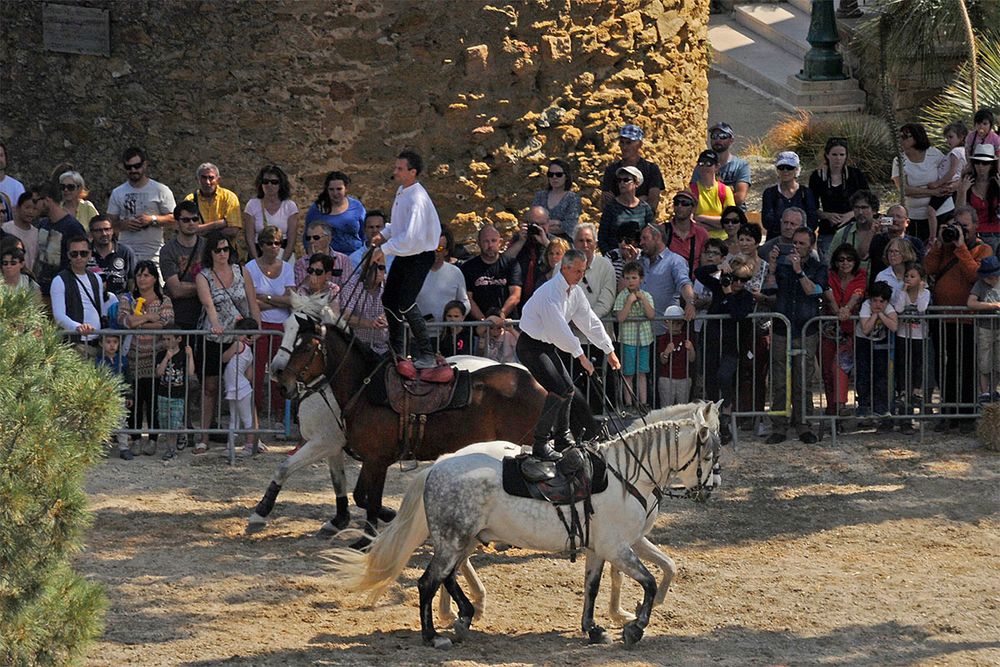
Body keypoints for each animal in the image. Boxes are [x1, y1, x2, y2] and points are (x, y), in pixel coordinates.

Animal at [278, 320, 596, 548]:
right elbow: (361, 496)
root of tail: (537, 382)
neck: (367, 389)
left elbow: (372, 500)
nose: (282, 381)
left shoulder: (377, 460)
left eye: (305, 348)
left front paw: (366, 540)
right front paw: (385, 518)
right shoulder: (371, 459)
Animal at [326, 404, 720, 648]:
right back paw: (434, 634)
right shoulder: (618, 548)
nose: (713, 488)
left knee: (448, 576)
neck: (626, 474)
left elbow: (598, 586)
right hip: (454, 540)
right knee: (428, 581)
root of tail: (437, 465)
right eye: (710, 454)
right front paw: (635, 628)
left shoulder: (606, 547)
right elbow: (650, 582)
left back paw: (464, 615)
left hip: (463, 539)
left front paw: (594, 628)